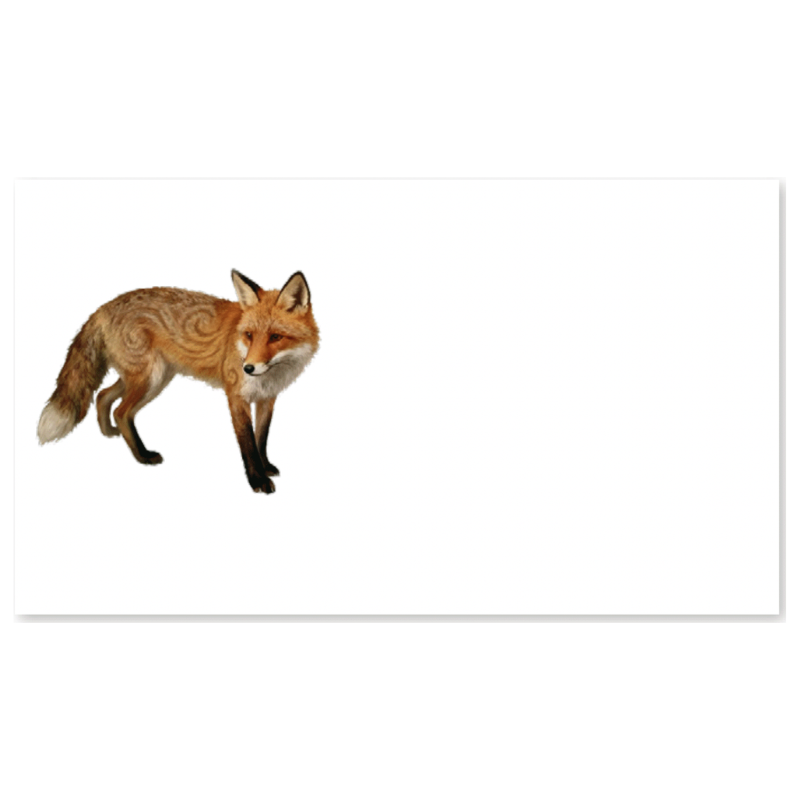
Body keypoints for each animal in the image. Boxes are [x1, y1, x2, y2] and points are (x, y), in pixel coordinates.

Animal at [37, 270, 319, 494]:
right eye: (249, 335)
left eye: (275, 337)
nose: (247, 368)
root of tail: (105, 306)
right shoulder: (236, 397)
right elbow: (247, 443)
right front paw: (257, 481)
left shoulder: (266, 399)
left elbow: (262, 438)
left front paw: (266, 467)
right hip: (149, 379)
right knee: (121, 410)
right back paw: (142, 455)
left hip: (148, 378)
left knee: (103, 395)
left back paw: (108, 433)